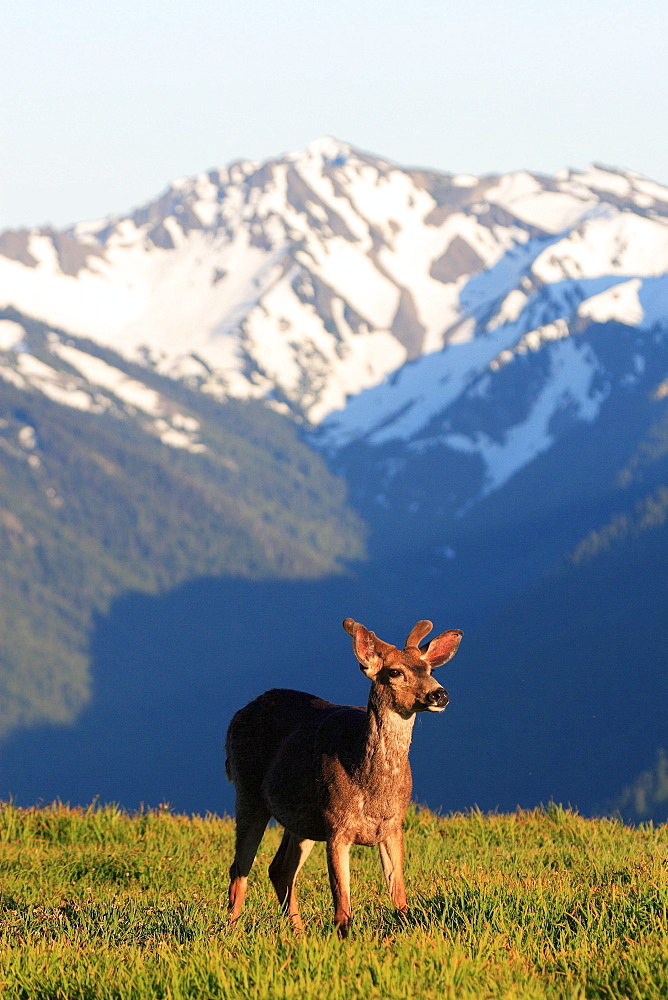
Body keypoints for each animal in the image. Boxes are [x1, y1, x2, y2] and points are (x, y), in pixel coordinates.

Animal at [223, 616, 460, 936]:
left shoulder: (393, 824)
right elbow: (342, 904)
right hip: (248, 792)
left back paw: (298, 934)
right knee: (240, 868)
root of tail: (237, 716)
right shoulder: (337, 825)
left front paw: (408, 931)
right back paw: (230, 931)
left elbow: (399, 895)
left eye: (431, 670)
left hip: (302, 821)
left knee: (280, 869)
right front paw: (343, 939)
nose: (440, 694)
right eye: (395, 671)